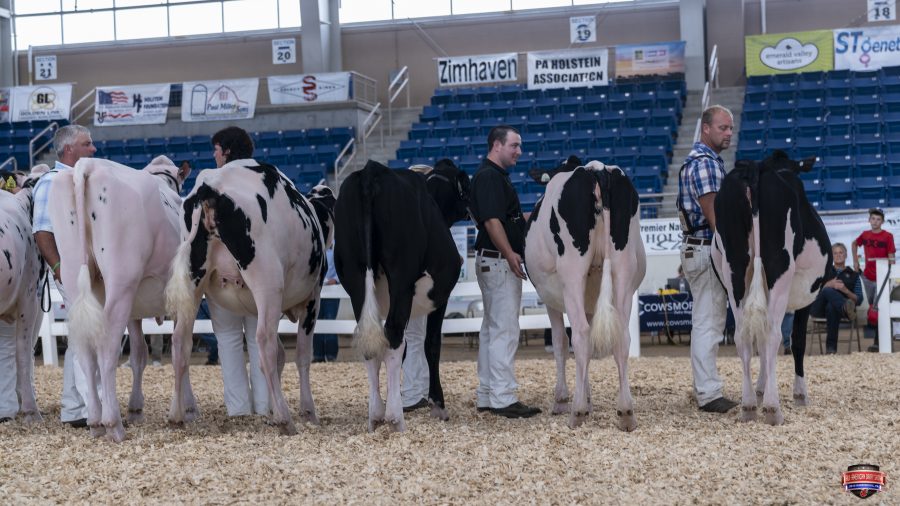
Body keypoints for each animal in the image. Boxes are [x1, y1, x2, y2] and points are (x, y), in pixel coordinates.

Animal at [49, 156, 191, 442]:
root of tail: (88, 164)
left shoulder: (135, 310)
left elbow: (139, 353)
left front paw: (136, 408)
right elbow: (181, 348)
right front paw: (186, 409)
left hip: (75, 274)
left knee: (85, 349)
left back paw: (95, 422)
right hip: (121, 281)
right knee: (107, 347)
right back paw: (113, 424)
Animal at [166, 160, 333, 436]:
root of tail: (211, 185)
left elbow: (282, 354)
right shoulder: (313, 299)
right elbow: (300, 355)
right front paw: (307, 412)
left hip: (194, 279)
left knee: (180, 341)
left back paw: (177, 415)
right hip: (268, 282)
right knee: (264, 342)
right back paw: (286, 420)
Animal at [333, 159, 467, 432]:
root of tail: (371, 171)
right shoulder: (438, 298)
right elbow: (430, 344)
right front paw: (437, 404)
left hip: (354, 277)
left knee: (370, 340)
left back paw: (376, 414)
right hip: (401, 277)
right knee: (394, 336)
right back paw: (395, 417)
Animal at [524, 158, 646, 430]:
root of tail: (596, 169)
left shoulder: (551, 299)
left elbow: (561, 342)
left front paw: (563, 400)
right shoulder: (590, 303)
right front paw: (588, 399)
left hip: (572, 271)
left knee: (579, 333)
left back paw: (576, 412)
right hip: (624, 269)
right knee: (621, 336)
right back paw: (626, 412)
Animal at [712, 150, 830, 425]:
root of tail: (756, 169)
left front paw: (760, 388)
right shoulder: (805, 298)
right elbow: (797, 341)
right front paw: (799, 394)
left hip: (734, 269)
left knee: (743, 335)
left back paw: (748, 406)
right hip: (780, 266)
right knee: (773, 333)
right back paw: (773, 409)